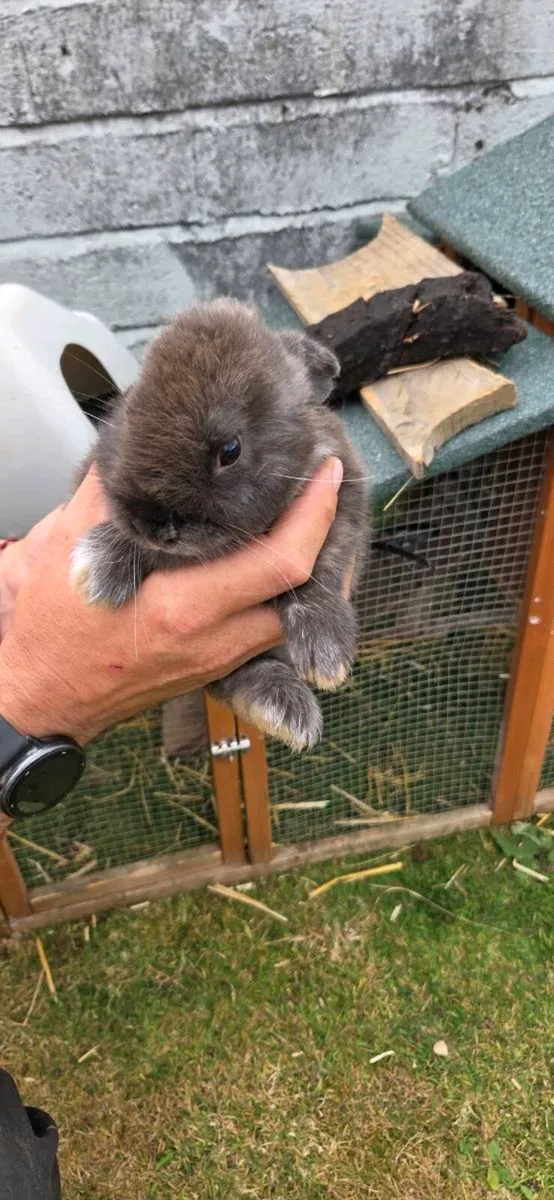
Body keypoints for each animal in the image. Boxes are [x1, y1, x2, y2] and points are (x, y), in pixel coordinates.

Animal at [71, 299, 370, 750]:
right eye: (129, 409)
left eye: (230, 449)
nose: (154, 526)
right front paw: (98, 570)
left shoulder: (341, 499)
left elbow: (320, 571)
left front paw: (326, 652)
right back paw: (283, 709)